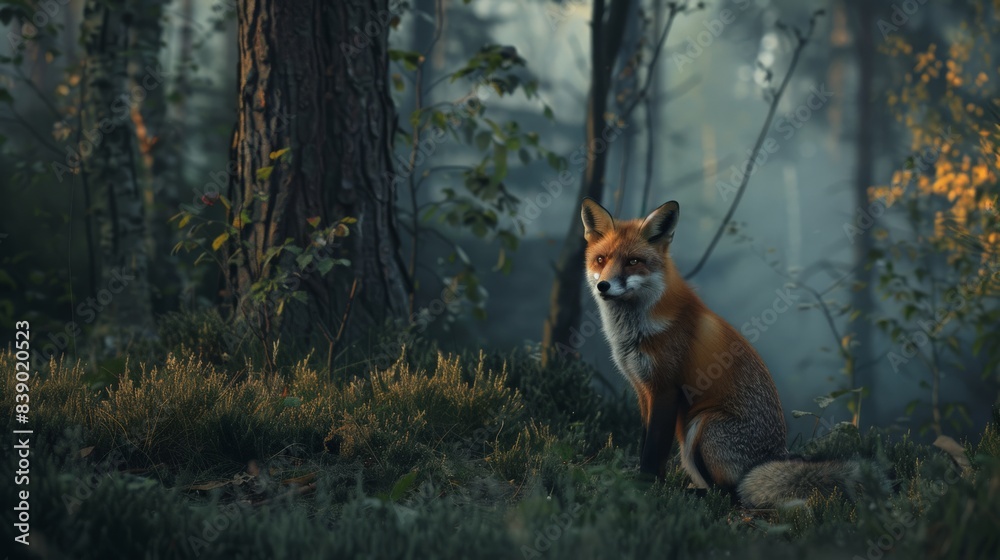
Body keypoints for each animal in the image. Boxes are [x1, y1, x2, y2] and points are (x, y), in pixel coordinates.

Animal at [581, 197, 865, 507]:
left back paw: (694, 493)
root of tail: (775, 455)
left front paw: (644, 486)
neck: (633, 331)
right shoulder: (644, 390)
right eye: (601, 260)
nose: (603, 285)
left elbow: (653, 450)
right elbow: (646, 442)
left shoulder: (666, 389)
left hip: (702, 424)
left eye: (633, 261)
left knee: (732, 493)